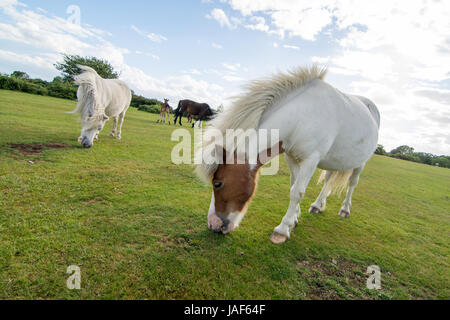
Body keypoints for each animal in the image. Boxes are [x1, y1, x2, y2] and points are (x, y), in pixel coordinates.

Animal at [195, 65, 382, 245]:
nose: (213, 224)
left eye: (218, 183)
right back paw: (318, 205)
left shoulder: (310, 161)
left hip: (361, 164)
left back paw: (345, 209)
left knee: (352, 183)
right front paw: (294, 219)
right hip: (334, 161)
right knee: (328, 181)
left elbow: (297, 192)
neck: (302, 117)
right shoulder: (292, 158)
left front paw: (283, 230)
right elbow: (293, 186)